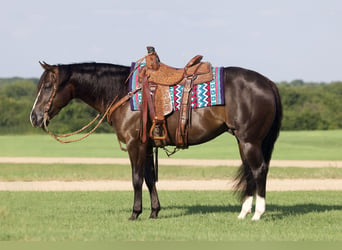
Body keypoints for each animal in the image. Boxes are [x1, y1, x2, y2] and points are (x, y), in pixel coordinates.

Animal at [30, 60, 282, 221]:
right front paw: (154, 212)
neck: (123, 92)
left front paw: (135, 213)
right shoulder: (148, 146)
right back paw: (243, 212)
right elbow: (150, 179)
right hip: (243, 141)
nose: (34, 117)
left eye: (48, 86)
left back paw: (257, 214)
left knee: (258, 170)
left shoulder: (135, 144)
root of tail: (268, 82)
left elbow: (136, 179)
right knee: (250, 172)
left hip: (250, 141)